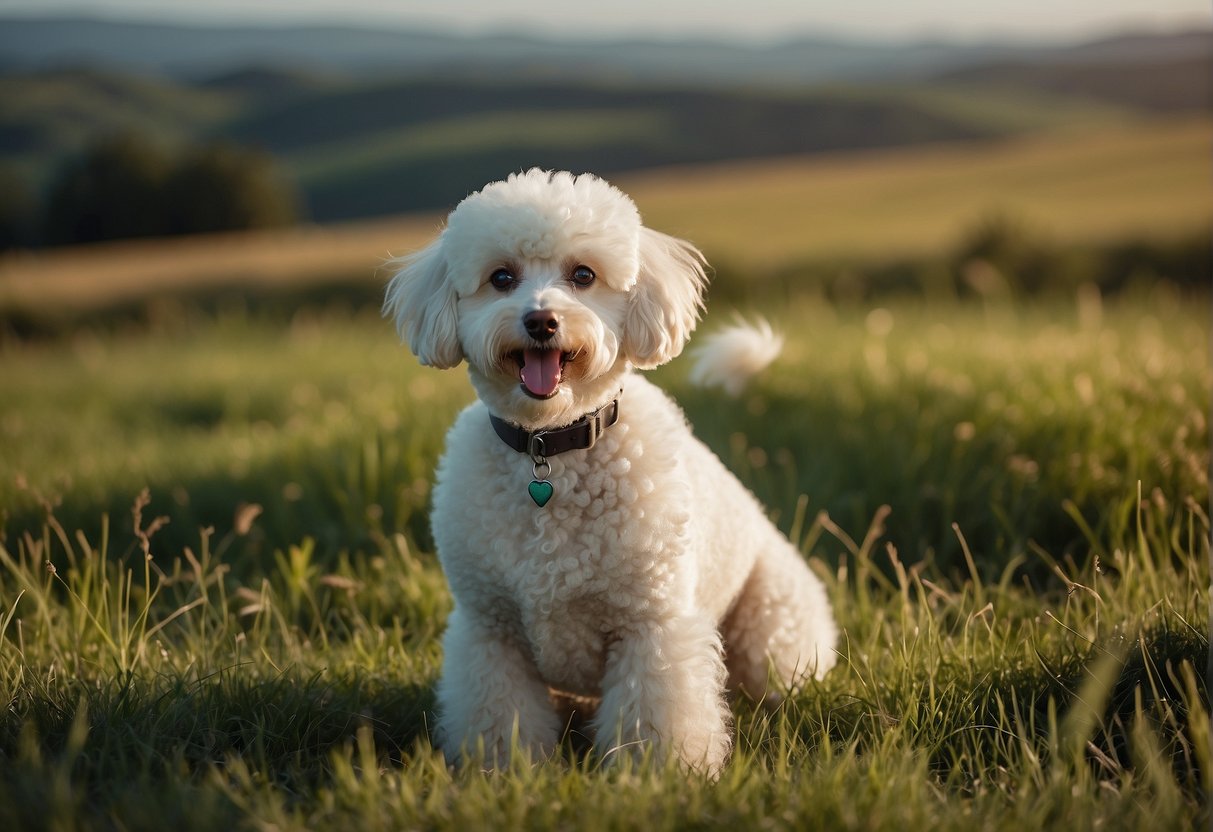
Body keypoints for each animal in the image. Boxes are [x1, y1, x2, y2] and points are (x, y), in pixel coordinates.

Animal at [385, 169, 834, 776]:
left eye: (584, 275)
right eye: (501, 278)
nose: (541, 320)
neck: (550, 448)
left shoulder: (651, 627)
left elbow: (655, 716)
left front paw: (659, 775)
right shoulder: (489, 632)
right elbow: (499, 716)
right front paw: (502, 773)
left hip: (771, 630)